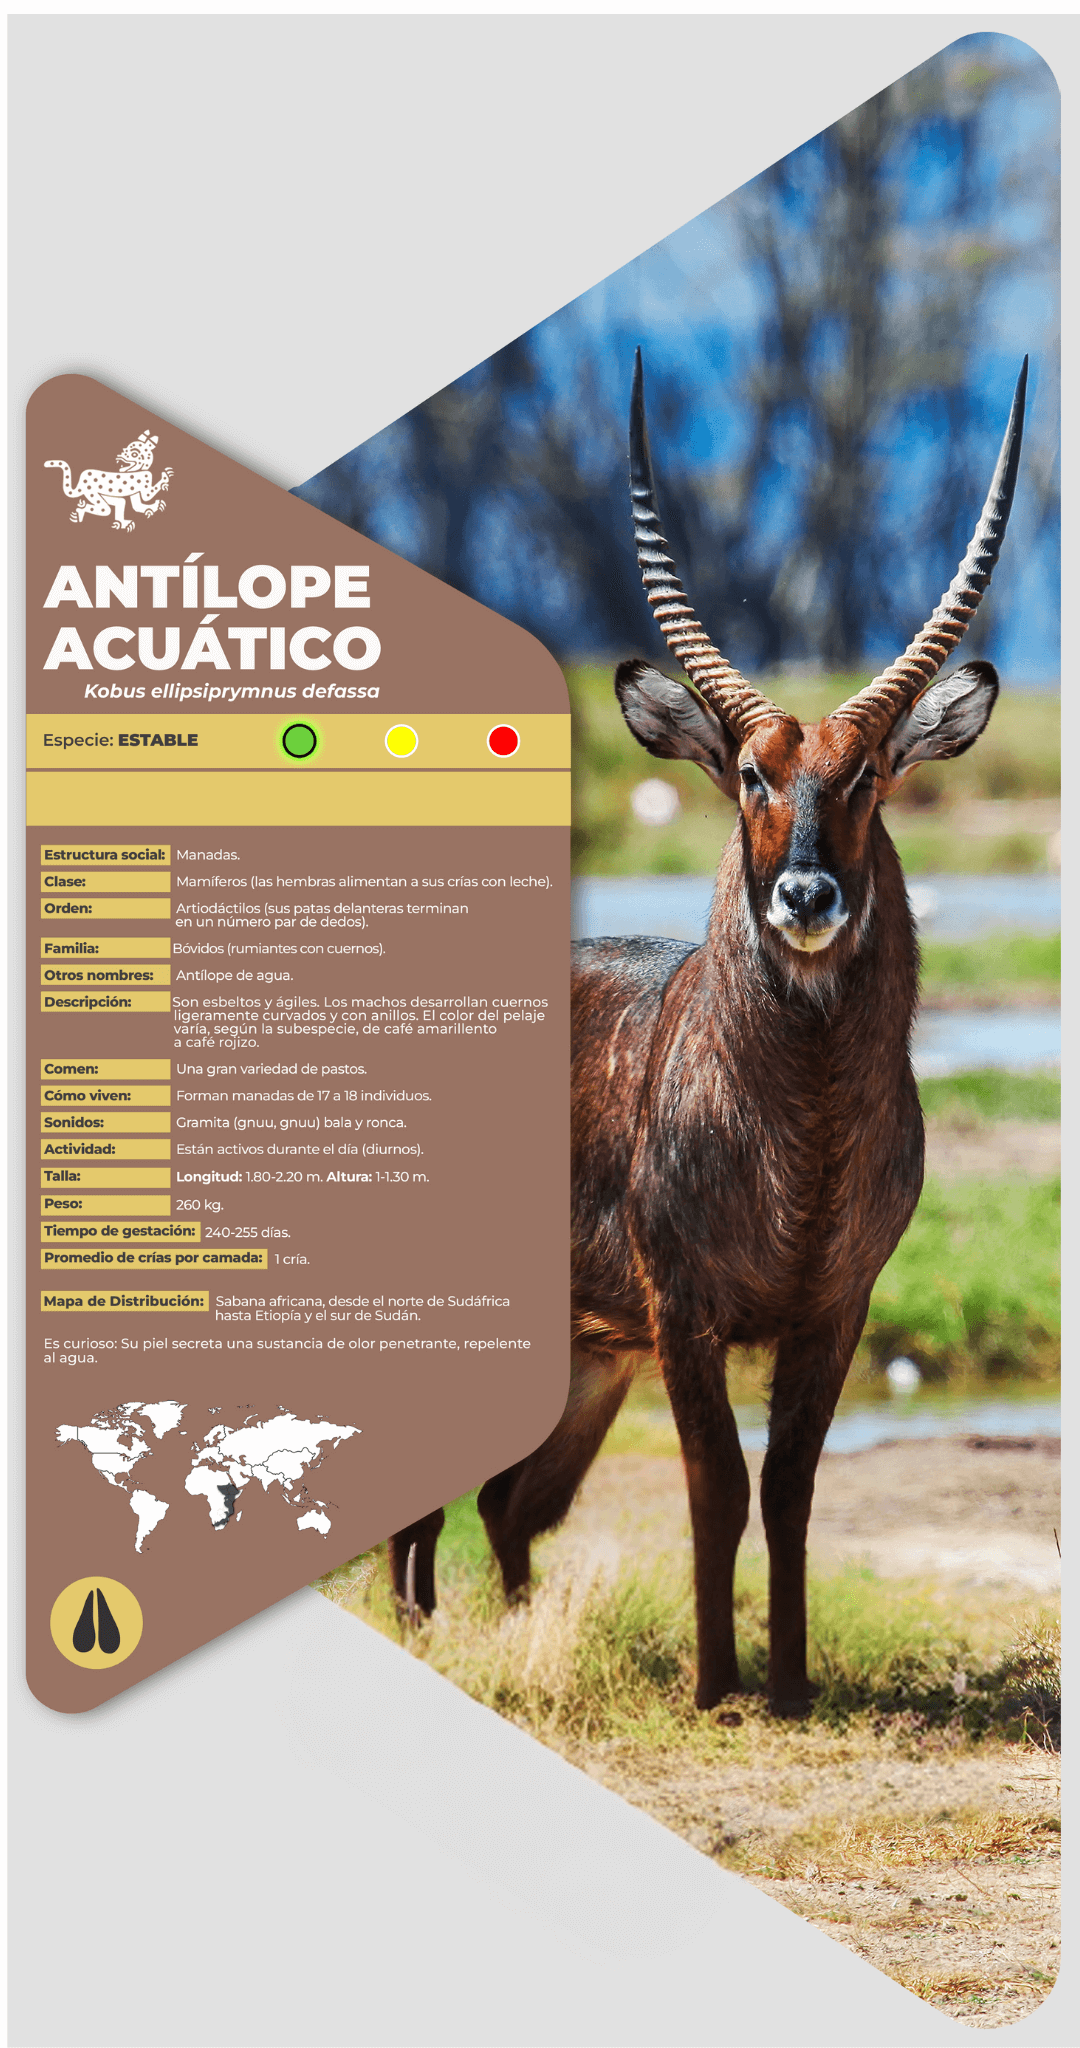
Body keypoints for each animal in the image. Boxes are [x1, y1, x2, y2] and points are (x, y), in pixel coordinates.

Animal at [390, 350, 1028, 1713]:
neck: (805, 1132)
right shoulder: (684, 1312)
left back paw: (507, 1627)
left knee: (505, 1500)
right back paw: (424, 1628)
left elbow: (787, 1494)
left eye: (867, 772)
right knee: (441, 1496)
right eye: (749, 773)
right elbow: (716, 1490)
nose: (806, 897)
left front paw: (783, 1684)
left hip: (585, 1356)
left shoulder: (834, 1308)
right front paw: (714, 1683)